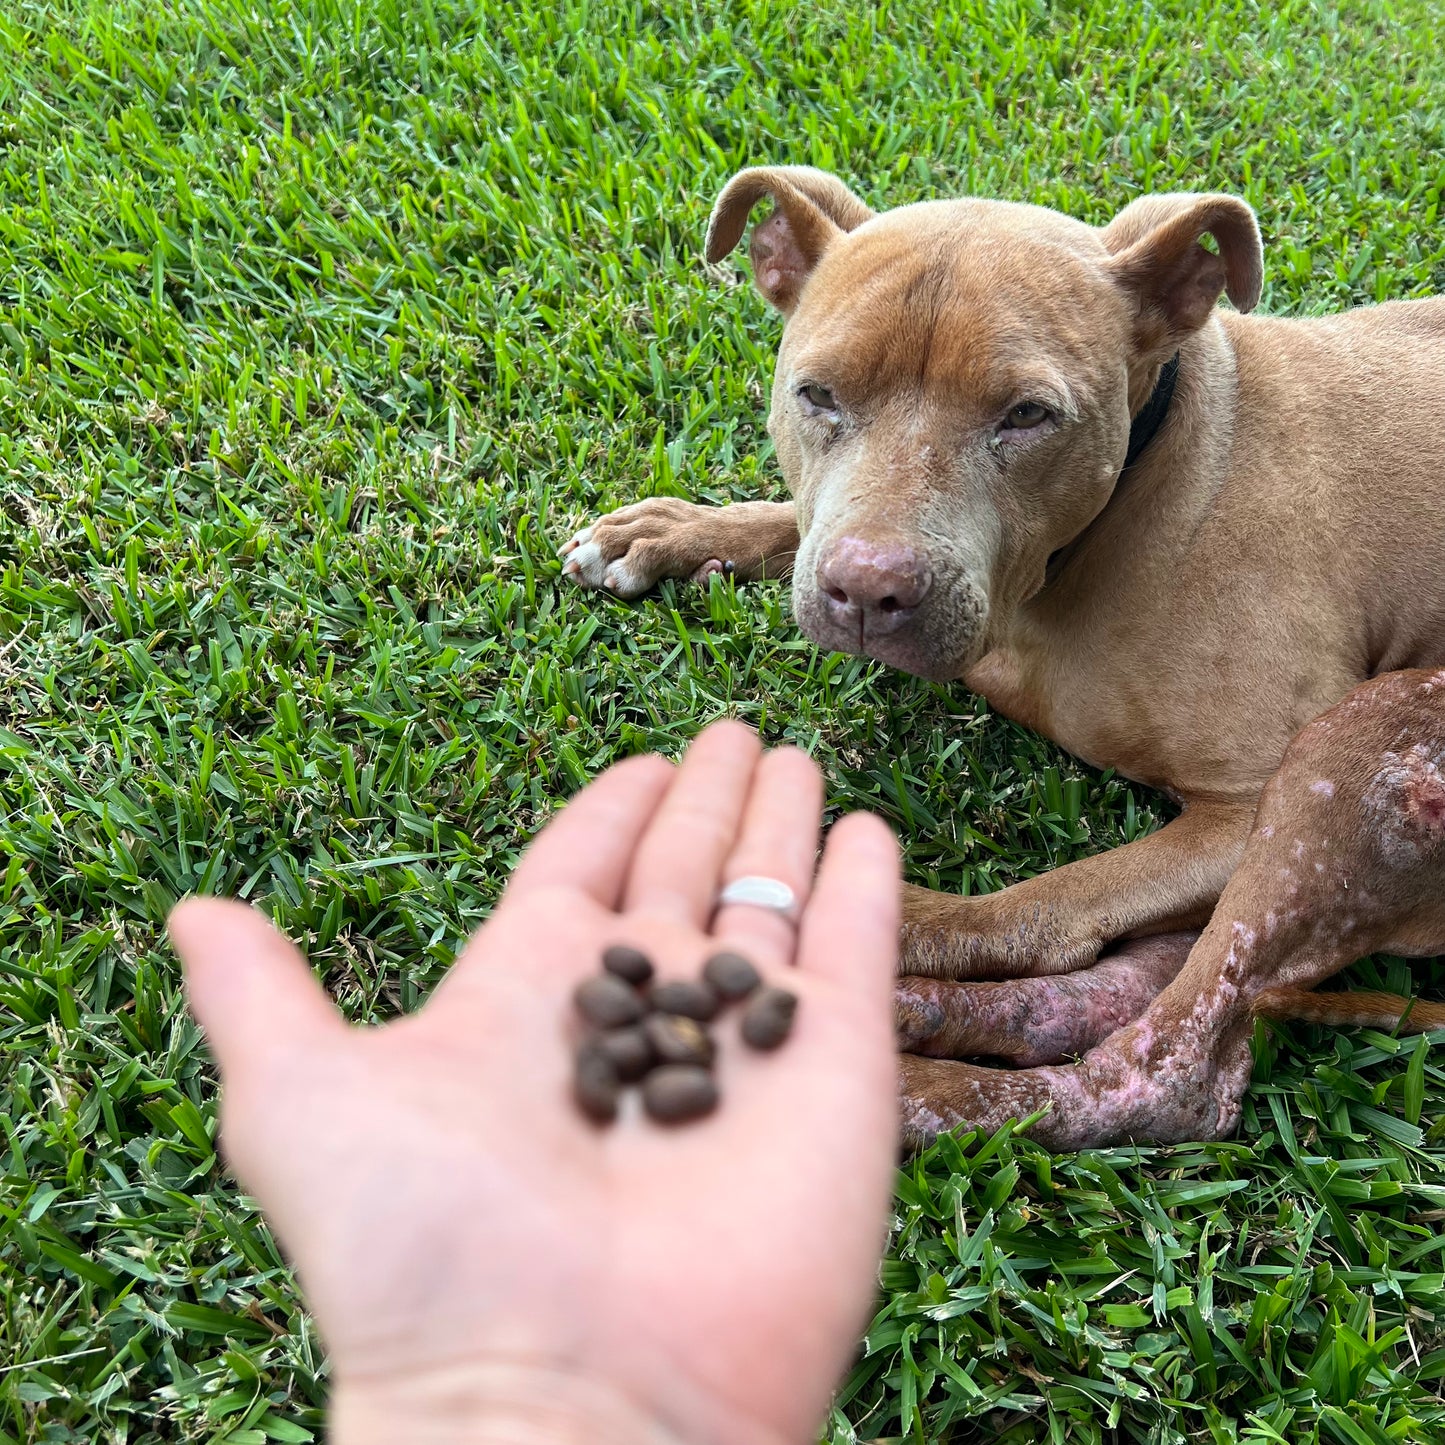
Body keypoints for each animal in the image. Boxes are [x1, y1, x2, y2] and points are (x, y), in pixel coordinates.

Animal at [557, 164, 1439, 1144]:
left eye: (1027, 416)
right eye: (816, 395)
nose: (867, 589)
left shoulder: (1245, 798)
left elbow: (1048, 903)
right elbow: (797, 520)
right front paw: (675, 530)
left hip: (1357, 747)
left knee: (1156, 1054)